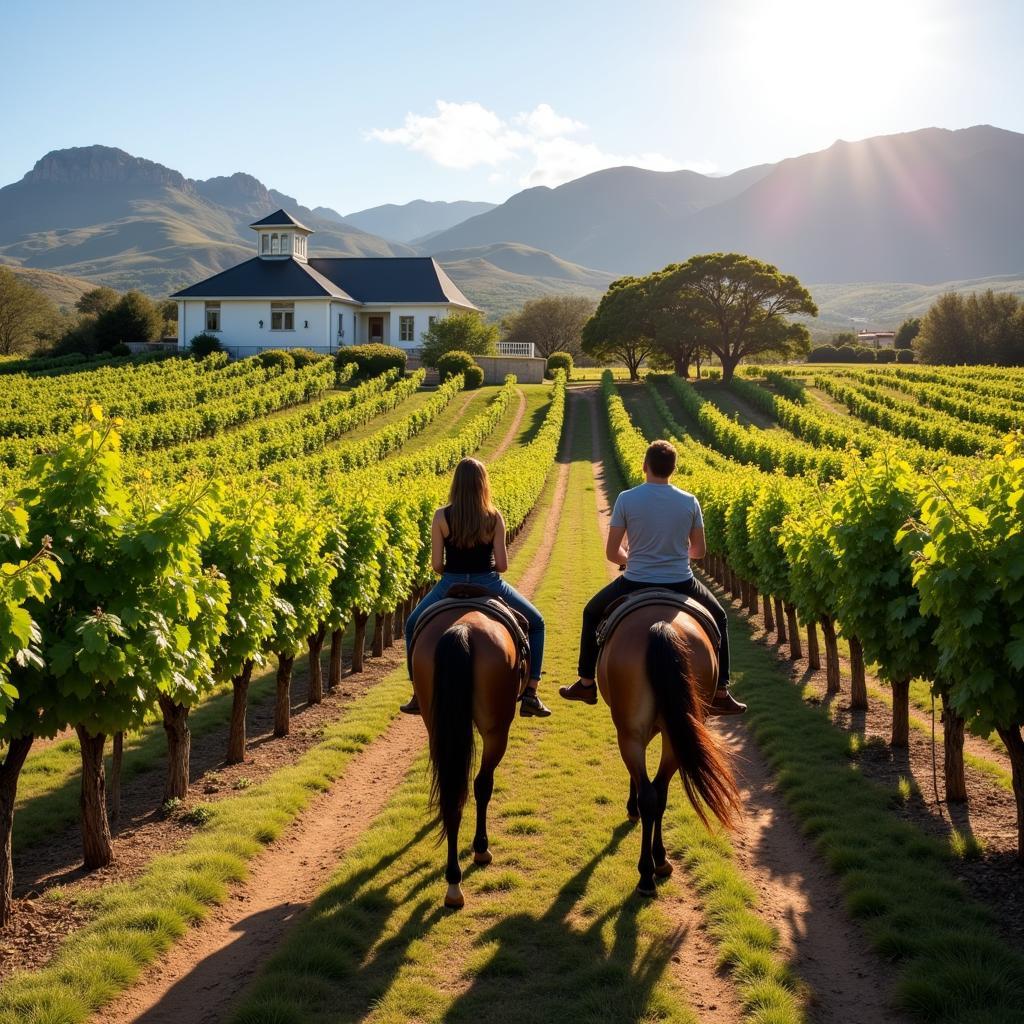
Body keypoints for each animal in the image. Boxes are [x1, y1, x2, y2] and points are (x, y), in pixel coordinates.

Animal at [409, 606, 520, 905]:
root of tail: (463, 629)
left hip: (435, 724)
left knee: (451, 791)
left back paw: (453, 881)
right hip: (496, 730)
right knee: (482, 784)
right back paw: (478, 852)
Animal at [598, 602, 741, 892]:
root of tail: (660, 625)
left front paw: (630, 808)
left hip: (631, 732)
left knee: (649, 793)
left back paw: (646, 874)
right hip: (678, 730)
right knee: (658, 794)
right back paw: (659, 862)